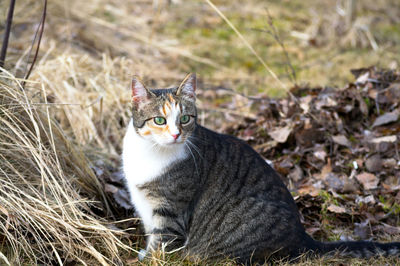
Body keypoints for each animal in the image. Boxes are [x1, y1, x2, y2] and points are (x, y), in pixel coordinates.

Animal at [122, 74, 400, 262]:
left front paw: (148, 259)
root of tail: (304, 239)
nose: (176, 134)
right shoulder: (145, 206)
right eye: (159, 120)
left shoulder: (171, 210)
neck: (150, 152)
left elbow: (163, 243)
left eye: (185, 119)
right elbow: (153, 236)